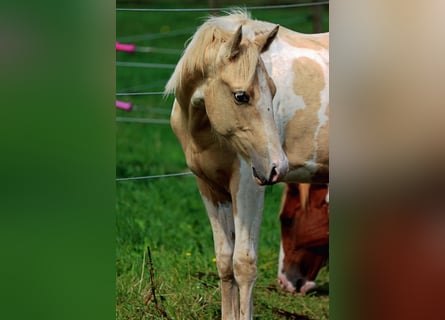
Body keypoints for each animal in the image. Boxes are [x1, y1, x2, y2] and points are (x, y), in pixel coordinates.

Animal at [165, 10, 328, 320]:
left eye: (273, 91)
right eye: (241, 96)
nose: (278, 167)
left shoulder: (248, 186)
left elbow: (244, 264)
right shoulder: (210, 188)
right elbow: (225, 261)